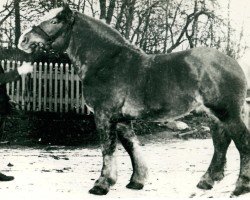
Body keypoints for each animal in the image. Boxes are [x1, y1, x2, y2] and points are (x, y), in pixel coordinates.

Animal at [18, 4, 250, 195]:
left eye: (55, 21)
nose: (23, 40)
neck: (105, 62)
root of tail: (234, 63)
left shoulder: (104, 115)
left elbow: (108, 149)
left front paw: (101, 184)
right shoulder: (122, 120)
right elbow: (132, 147)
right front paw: (136, 181)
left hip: (227, 113)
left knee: (242, 142)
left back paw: (240, 187)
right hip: (214, 115)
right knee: (221, 143)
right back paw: (207, 181)